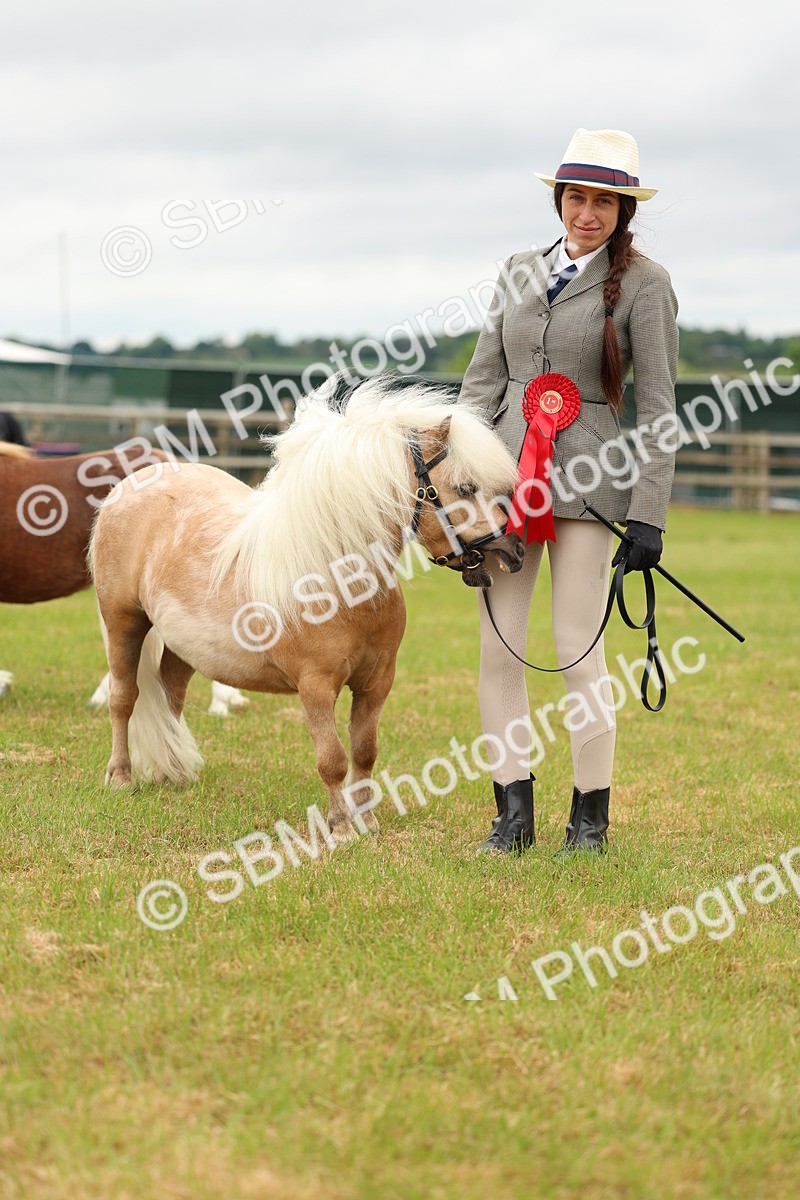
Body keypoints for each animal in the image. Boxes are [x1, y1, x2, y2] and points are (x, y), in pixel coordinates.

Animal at [88, 374, 524, 841]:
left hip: (181, 645)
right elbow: (332, 758)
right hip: (123, 622)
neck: (340, 583)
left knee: (171, 693)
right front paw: (341, 828)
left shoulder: (377, 683)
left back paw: (173, 772)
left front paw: (367, 821)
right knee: (124, 697)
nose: (514, 550)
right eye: (465, 487)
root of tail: (129, 486)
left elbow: (365, 751)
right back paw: (121, 777)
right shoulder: (315, 687)